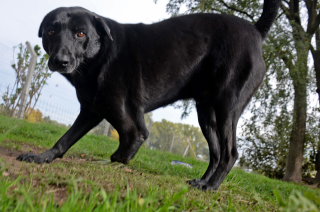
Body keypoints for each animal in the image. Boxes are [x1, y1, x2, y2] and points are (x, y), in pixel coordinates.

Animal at [16, 0, 280, 191]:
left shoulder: (125, 118)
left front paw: (113, 162)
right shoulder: (91, 110)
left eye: (81, 34)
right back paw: (202, 182)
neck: (100, 57)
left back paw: (211, 187)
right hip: (206, 114)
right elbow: (64, 140)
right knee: (215, 154)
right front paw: (41, 157)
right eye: (51, 31)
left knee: (230, 153)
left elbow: (128, 145)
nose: (60, 61)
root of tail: (256, 31)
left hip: (226, 109)